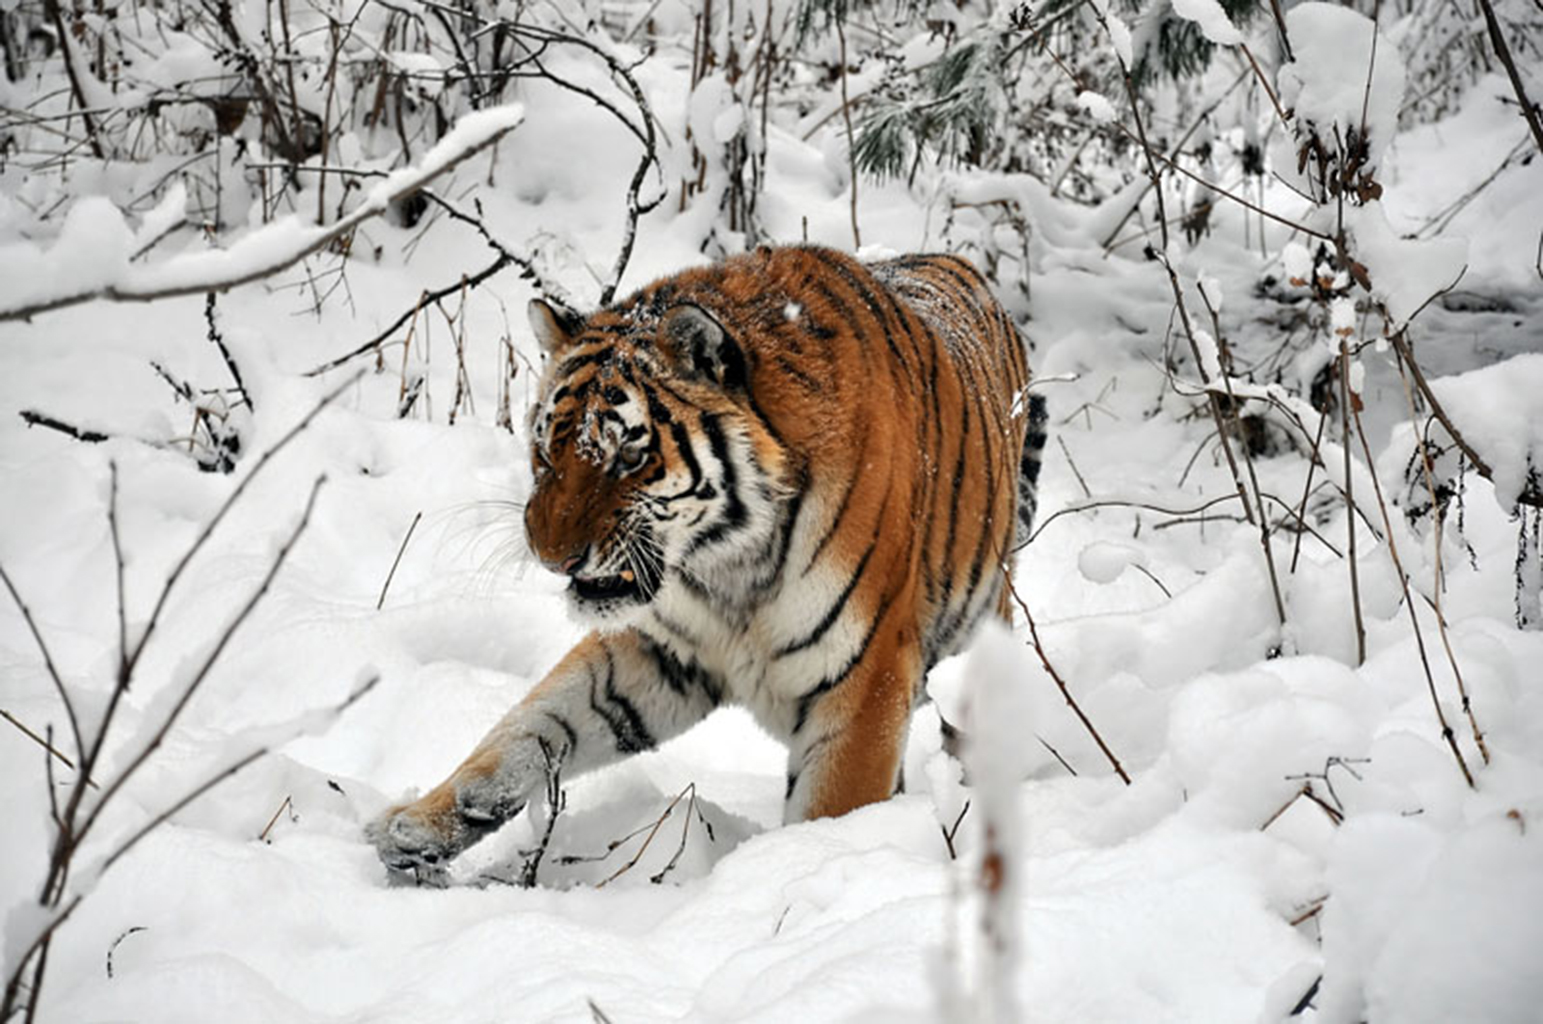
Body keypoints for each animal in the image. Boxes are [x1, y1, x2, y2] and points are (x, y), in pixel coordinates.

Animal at [368, 244, 1046, 874]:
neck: (728, 566)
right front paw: (417, 826)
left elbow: (831, 809)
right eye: (545, 447)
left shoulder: (861, 676)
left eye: (629, 455)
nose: (551, 557)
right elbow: (531, 726)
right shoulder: (658, 648)